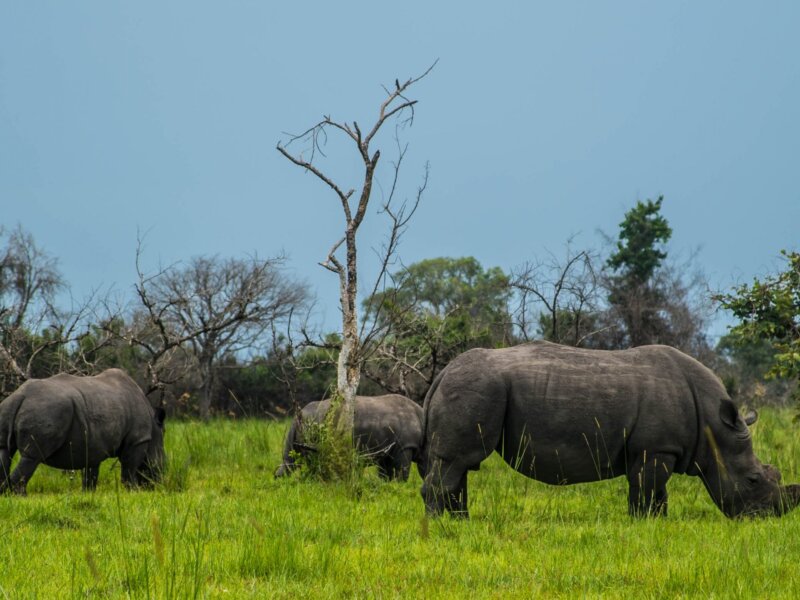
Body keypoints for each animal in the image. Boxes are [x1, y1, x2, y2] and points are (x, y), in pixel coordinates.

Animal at [0, 369, 166, 494]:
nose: (159, 483)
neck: (154, 426)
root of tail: (20, 395)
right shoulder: (138, 439)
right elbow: (129, 468)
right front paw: (133, 492)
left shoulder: (94, 444)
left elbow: (91, 472)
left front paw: (88, 493)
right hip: (46, 410)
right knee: (32, 457)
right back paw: (21, 497)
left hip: (9, 407)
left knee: (4, 451)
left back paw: (5, 495)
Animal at [275, 394, 423, 481]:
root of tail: (301, 413)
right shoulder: (405, 446)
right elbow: (402, 474)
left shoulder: (387, 448)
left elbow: (385, 475)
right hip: (316, 423)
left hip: (302, 424)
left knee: (290, 460)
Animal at [420, 341, 800, 518]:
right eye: (753, 480)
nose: (768, 517)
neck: (712, 425)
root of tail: (443, 372)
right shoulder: (656, 448)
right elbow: (646, 489)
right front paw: (642, 523)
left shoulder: (656, 449)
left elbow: (657, 492)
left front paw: (658, 523)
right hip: (477, 388)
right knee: (457, 461)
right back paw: (443, 527)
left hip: (475, 389)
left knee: (460, 465)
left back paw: (461, 522)